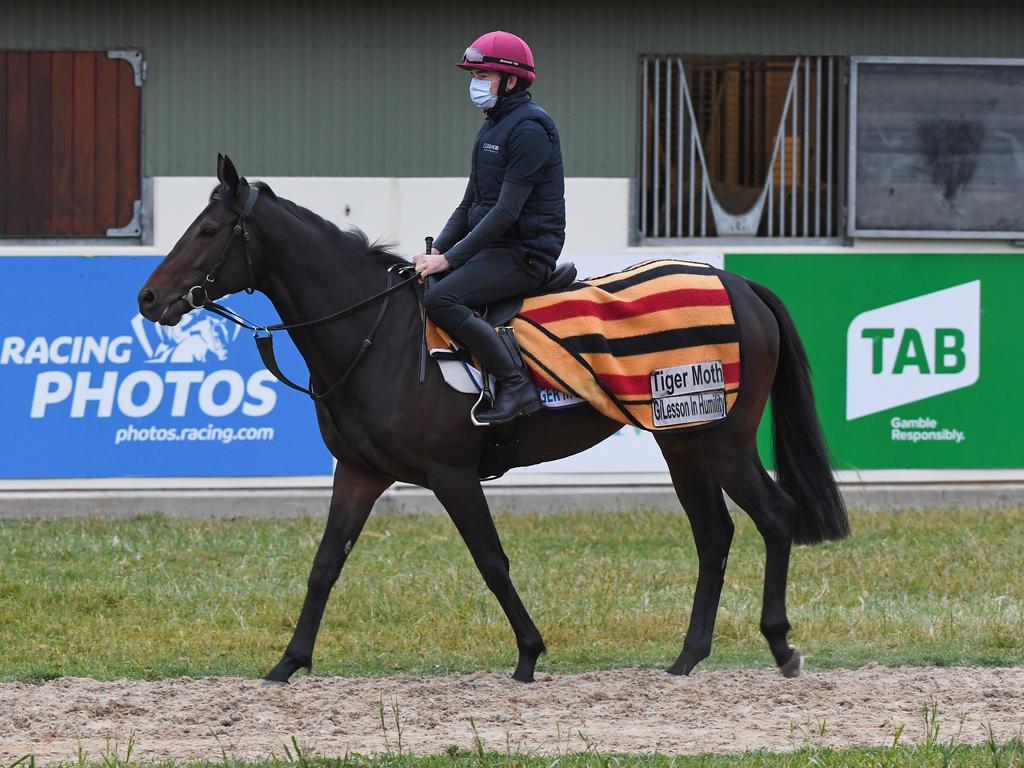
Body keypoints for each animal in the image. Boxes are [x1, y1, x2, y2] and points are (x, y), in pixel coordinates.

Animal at [140, 154, 851, 684]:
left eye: (208, 231)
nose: (149, 298)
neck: (379, 335)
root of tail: (739, 286)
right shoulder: (359, 472)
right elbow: (325, 565)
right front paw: (287, 663)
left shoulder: (452, 473)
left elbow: (490, 560)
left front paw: (529, 653)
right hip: (683, 443)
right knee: (714, 535)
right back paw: (688, 657)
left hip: (721, 441)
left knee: (775, 517)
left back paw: (781, 646)